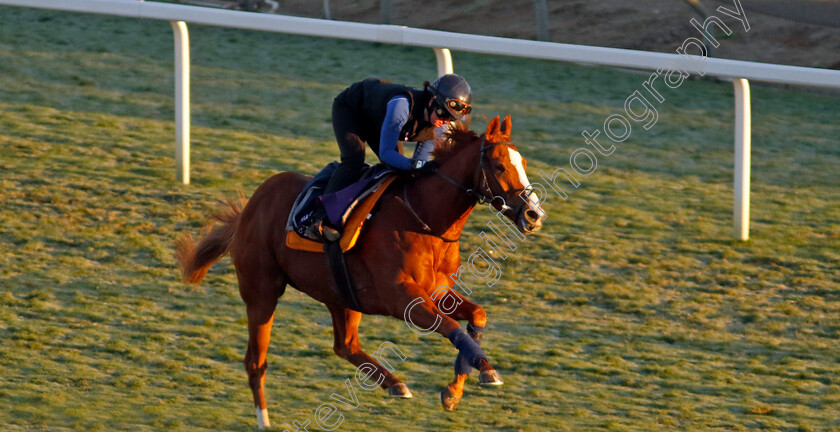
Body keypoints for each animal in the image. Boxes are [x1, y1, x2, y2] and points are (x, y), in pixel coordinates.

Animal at [177, 115, 544, 428]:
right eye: (499, 165)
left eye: (524, 164)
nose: (534, 214)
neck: (424, 218)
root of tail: (248, 210)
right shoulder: (402, 298)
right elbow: (453, 327)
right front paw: (478, 378)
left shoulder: (437, 291)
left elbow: (476, 316)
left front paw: (460, 387)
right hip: (261, 292)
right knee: (256, 362)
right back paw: (264, 422)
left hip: (340, 294)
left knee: (345, 345)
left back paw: (394, 384)